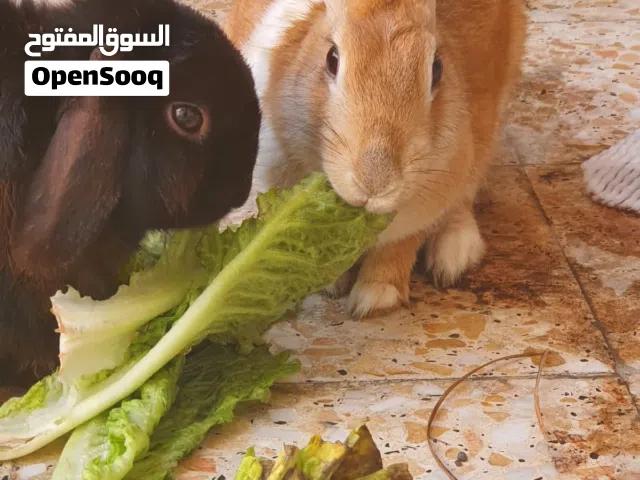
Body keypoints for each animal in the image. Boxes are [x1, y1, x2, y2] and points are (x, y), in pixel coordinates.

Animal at [223, 0, 526, 318]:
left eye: (437, 69)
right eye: (332, 59)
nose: (375, 183)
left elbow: (399, 247)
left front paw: (376, 297)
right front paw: (329, 283)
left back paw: (453, 256)